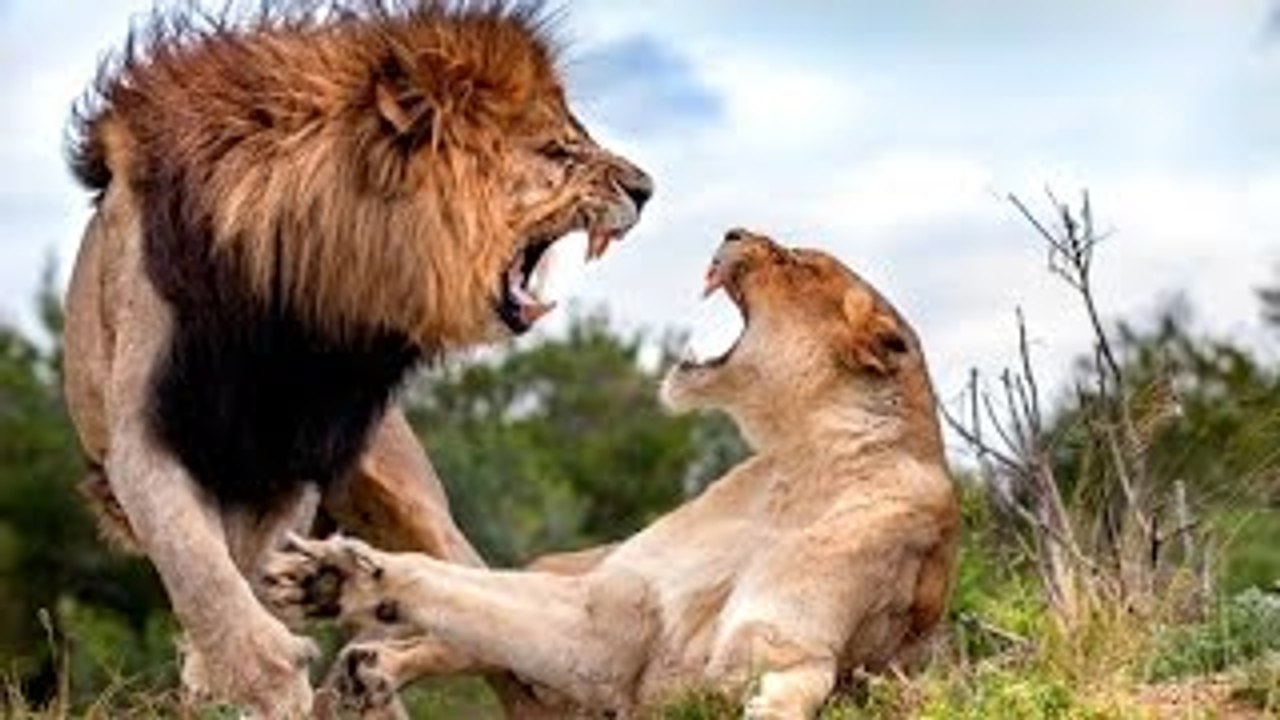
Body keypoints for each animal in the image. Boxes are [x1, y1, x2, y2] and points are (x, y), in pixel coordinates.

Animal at [62, 2, 652, 716]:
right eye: (557, 151)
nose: (646, 189)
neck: (297, 306)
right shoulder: (148, 434)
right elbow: (200, 569)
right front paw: (251, 675)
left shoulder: (291, 455)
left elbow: (247, 570)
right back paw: (357, 675)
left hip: (415, 505)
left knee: (492, 605)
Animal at [264, 229, 962, 719]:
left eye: (797, 262)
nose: (734, 231)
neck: (799, 462)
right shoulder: (607, 619)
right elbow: (452, 590)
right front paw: (336, 576)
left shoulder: (762, 647)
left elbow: (803, 680)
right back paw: (369, 666)